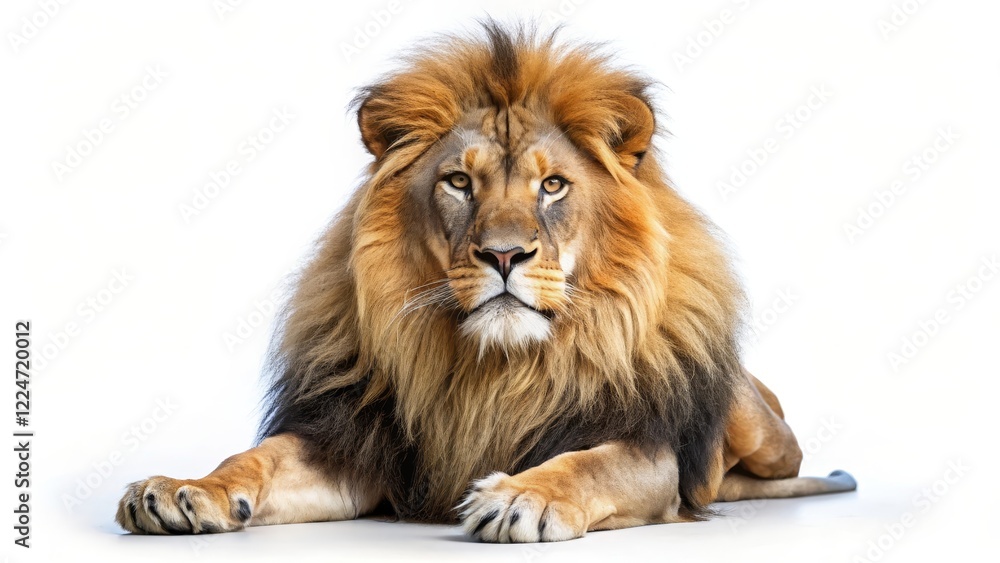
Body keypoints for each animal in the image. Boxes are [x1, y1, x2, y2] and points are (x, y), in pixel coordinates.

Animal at [116, 23, 856, 542]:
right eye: (458, 182)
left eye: (552, 185)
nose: (504, 255)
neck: (496, 370)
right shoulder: (357, 442)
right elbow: (259, 457)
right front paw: (185, 488)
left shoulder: (648, 451)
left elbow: (585, 463)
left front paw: (521, 496)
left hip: (759, 427)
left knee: (779, 460)